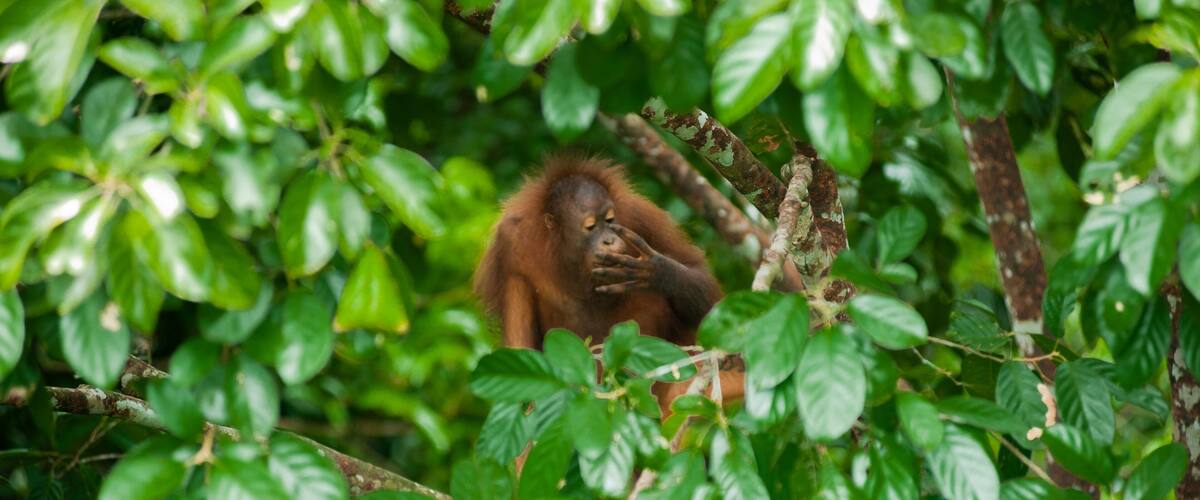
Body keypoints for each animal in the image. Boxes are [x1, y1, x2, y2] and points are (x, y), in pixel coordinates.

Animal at [474, 155, 737, 411]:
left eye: (610, 220)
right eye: (590, 226)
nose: (609, 240)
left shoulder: (640, 216)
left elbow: (697, 274)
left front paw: (657, 272)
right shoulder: (510, 248)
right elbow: (520, 344)